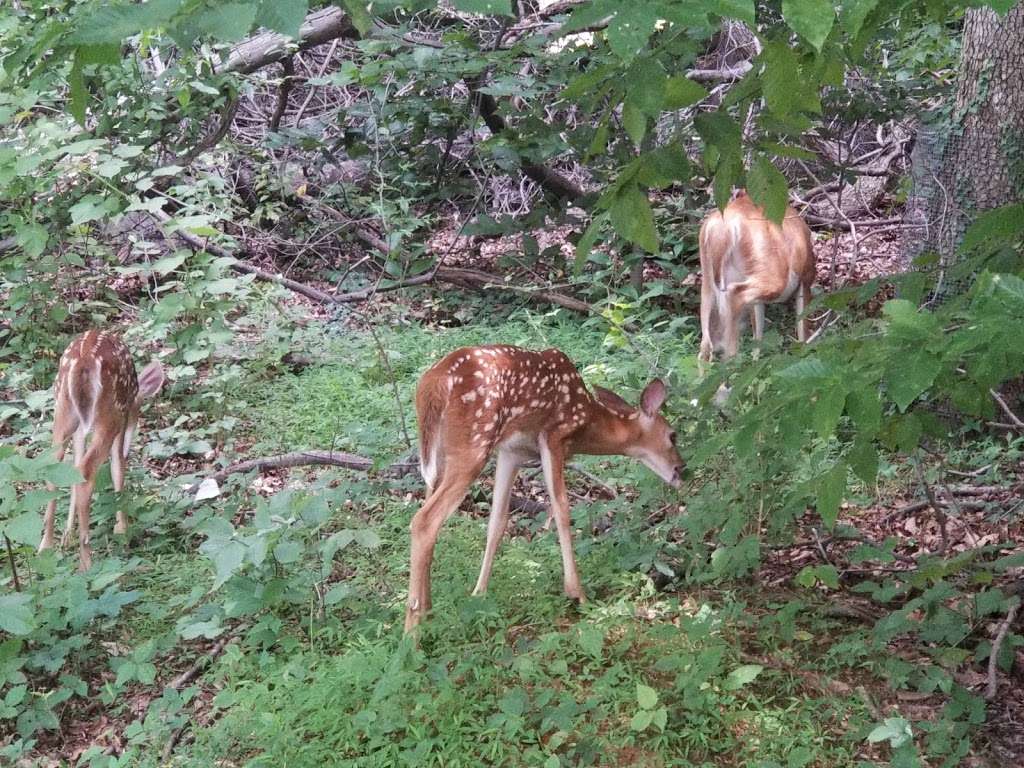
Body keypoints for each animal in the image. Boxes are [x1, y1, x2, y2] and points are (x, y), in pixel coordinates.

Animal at [38, 331, 165, 573]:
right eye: (138, 409)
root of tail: (84, 361)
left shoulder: (80, 427)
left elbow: (72, 467)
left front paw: (67, 535)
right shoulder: (122, 419)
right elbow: (118, 467)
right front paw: (122, 530)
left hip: (63, 409)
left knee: (54, 465)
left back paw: (45, 548)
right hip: (111, 413)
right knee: (87, 472)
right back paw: (86, 561)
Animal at [403, 346, 684, 634]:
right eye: (672, 435)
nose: (681, 468)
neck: (587, 421)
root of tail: (433, 383)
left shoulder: (511, 452)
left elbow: (497, 522)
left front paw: (479, 594)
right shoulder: (554, 436)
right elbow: (561, 510)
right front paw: (577, 594)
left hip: (437, 454)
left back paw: (427, 611)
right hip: (473, 444)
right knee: (425, 520)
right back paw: (412, 629)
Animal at [696, 188, 815, 364]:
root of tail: (722, 229)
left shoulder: (757, 301)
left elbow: (757, 336)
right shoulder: (805, 278)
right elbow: (802, 331)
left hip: (708, 279)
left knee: (705, 346)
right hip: (773, 276)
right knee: (735, 298)